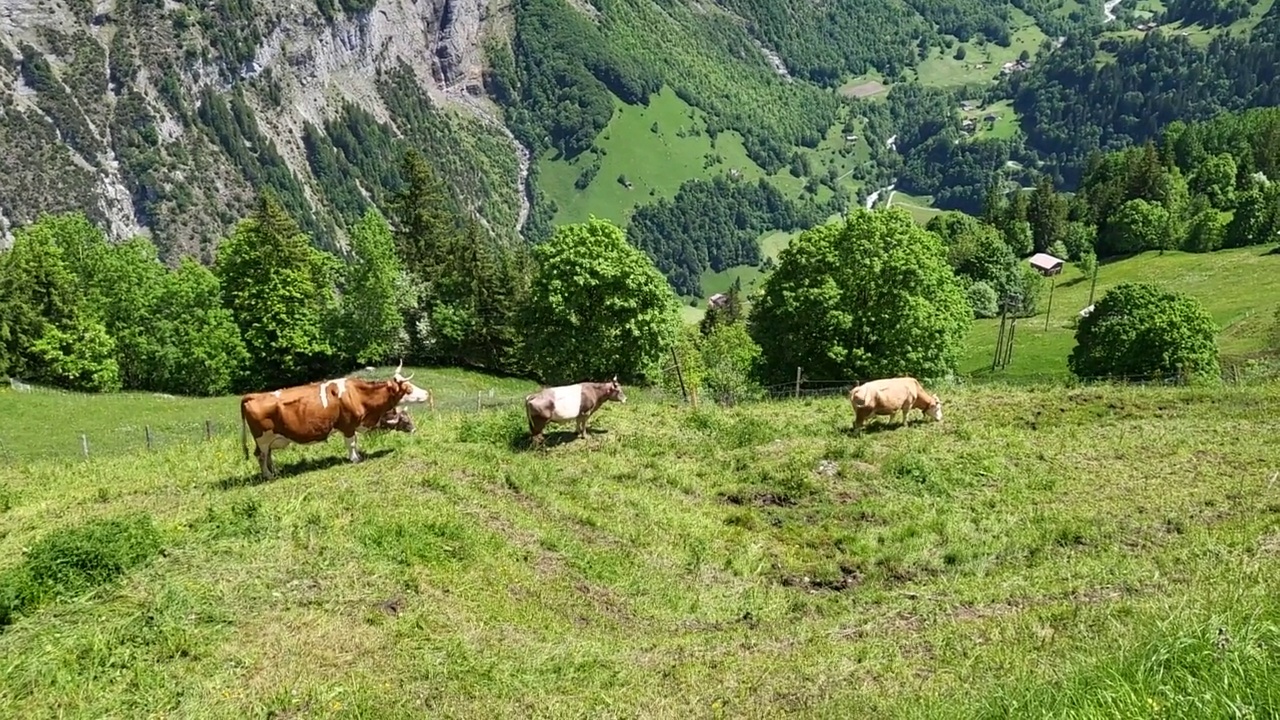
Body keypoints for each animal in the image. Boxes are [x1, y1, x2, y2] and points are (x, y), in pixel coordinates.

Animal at [241, 363, 432, 476]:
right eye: (408, 389)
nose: (427, 393)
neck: (358, 395)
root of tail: (253, 396)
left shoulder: (353, 425)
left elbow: (355, 442)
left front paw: (358, 455)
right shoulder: (347, 425)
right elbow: (351, 443)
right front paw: (355, 459)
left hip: (268, 439)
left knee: (267, 455)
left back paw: (275, 471)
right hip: (263, 438)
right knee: (261, 456)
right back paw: (268, 475)